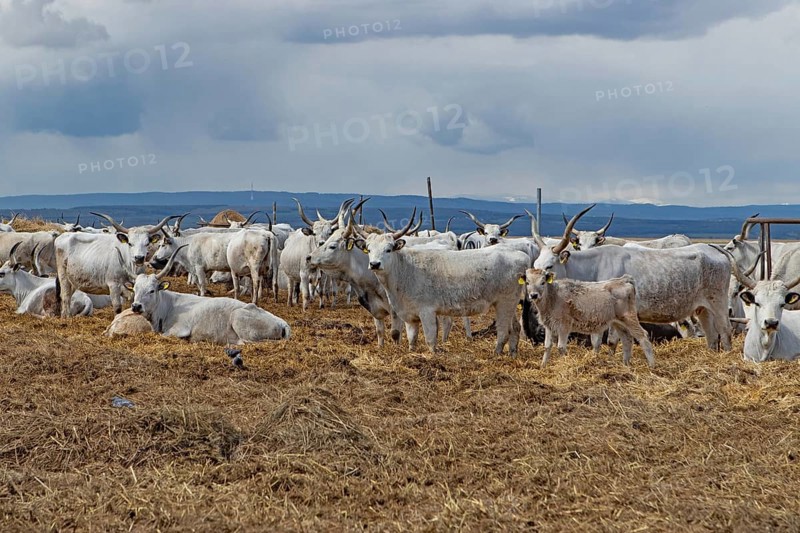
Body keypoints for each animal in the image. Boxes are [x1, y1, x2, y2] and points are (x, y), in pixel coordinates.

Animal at [126, 245, 290, 345]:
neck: (167, 306)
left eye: (152, 290)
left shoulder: (180, 329)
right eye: (135, 289)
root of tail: (283, 323)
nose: (136, 306)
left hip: (239, 320)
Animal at [351, 210, 529, 355]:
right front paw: (412, 353)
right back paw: (512, 353)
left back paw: (496, 353)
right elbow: (412, 339)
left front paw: (432, 356)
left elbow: (430, 340)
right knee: (515, 328)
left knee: (504, 331)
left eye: (388, 249)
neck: (405, 269)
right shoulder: (410, 316)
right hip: (510, 303)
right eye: (369, 249)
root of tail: (521, 255)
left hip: (504, 303)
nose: (374, 264)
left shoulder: (427, 311)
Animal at [521, 268, 655, 368]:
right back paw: (625, 364)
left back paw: (651, 365)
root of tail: (624, 280)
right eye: (527, 282)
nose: (533, 295)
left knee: (642, 336)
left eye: (542, 282)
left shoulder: (564, 326)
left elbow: (561, 347)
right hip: (618, 322)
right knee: (627, 339)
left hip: (629, 318)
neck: (553, 297)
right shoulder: (549, 326)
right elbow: (547, 346)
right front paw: (543, 366)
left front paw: (565, 363)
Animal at [533, 204, 732, 351]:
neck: (595, 266)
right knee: (712, 336)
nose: (533, 294)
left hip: (719, 303)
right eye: (535, 265)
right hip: (703, 308)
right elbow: (605, 341)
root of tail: (711, 248)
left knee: (725, 330)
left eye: (549, 266)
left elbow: (605, 340)